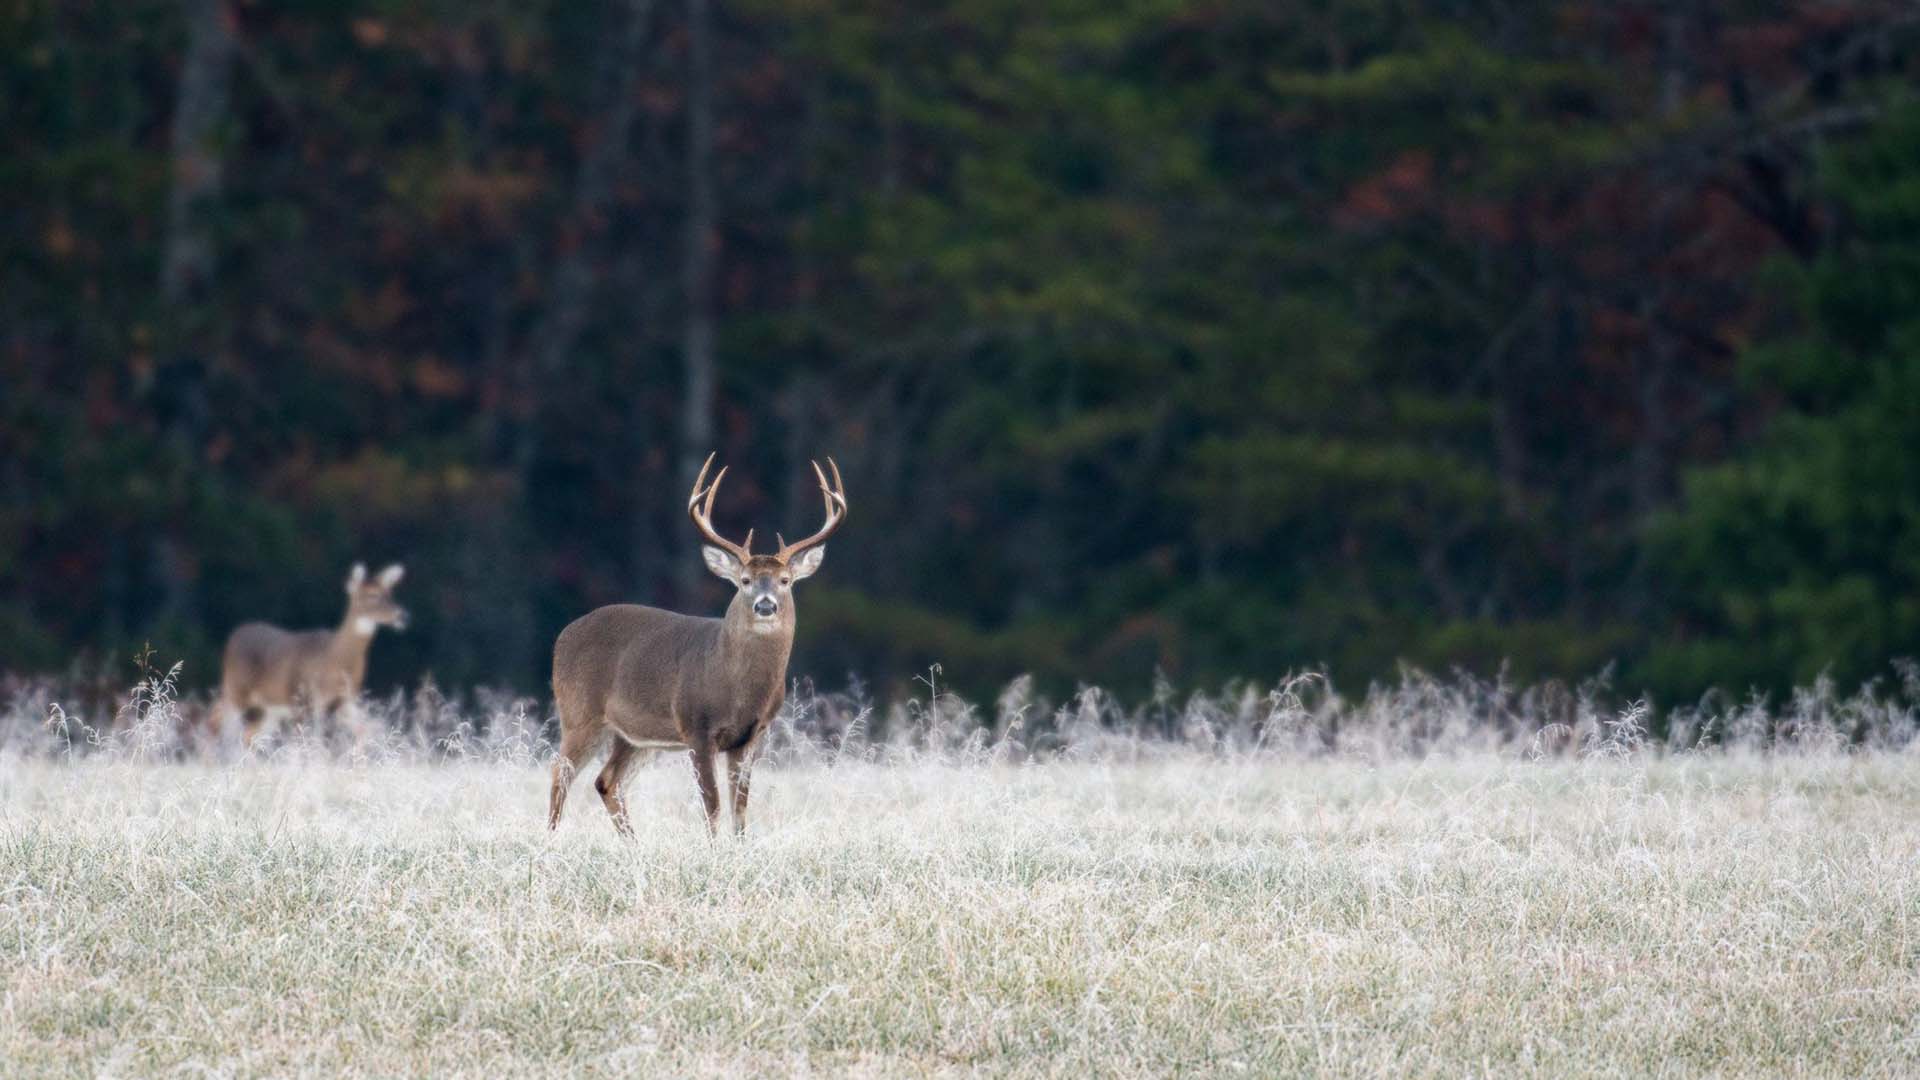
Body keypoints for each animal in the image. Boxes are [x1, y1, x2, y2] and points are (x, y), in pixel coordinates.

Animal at [213, 563, 409, 747]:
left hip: (269, 708)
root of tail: (234, 635)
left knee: (248, 736)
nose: (402, 616)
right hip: (236, 690)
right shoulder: (304, 698)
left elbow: (366, 730)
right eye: (372, 594)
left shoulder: (345, 700)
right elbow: (310, 741)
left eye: (390, 593)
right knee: (227, 731)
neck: (335, 659)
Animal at [547, 453, 846, 837]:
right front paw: (713, 848)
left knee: (606, 781)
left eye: (785, 580)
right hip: (579, 712)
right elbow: (712, 806)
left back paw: (634, 846)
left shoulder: (751, 736)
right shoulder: (697, 728)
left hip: (634, 735)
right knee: (560, 773)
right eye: (744, 580)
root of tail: (562, 636)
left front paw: (738, 846)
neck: (736, 686)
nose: (765, 605)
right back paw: (550, 841)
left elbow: (740, 809)